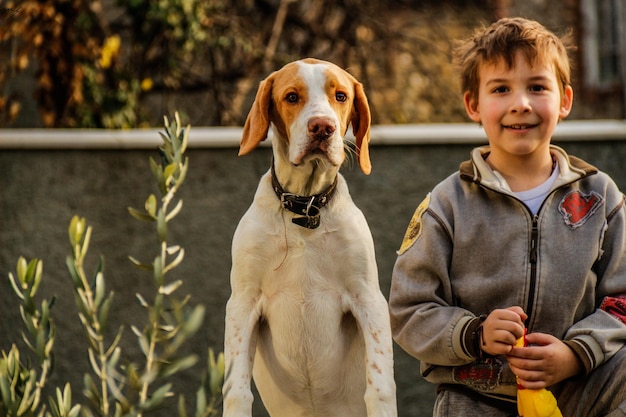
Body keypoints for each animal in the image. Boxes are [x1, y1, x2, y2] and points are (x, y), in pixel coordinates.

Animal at [223, 57, 394, 416]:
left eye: (341, 96)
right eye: (291, 97)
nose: (322, 127)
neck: (306, 206)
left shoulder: (368, 298)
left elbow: (379, 387)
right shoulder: (242, 302)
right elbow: (237, 391)